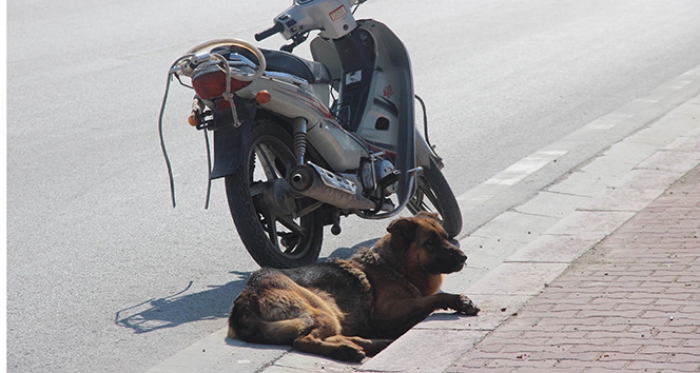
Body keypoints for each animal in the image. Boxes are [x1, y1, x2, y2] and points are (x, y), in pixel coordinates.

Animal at [227, 212, 478, 360]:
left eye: (445, 236)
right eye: (431, 242)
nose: (464, 257)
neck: (394, 266)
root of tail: (247, 293)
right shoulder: (386, 314)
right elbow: (432, 299)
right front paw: (459, 301)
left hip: (331, 316)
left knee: (337, 336)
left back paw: (369, 345)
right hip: (323, 309)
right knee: (303, 340)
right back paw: (348, 350)